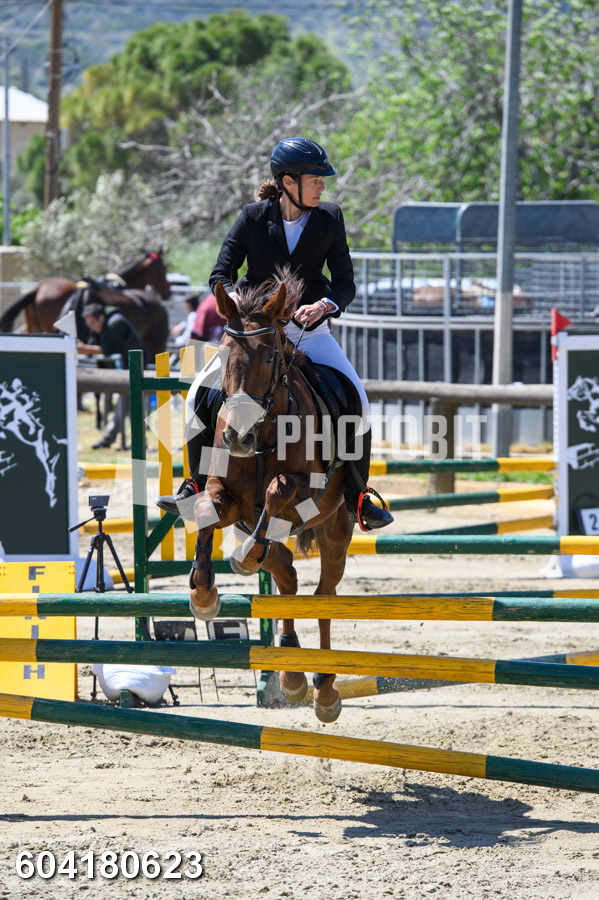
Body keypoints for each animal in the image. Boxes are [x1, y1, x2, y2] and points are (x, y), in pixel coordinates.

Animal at [188, 273, 353, 723]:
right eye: (224, 355)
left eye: (268, 359)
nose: (237, 438)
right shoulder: (225, 494)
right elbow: (207, 506)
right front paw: (203, 595)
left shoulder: (305, 491)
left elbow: (278, 488)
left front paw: (242, 559)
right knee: (287, 575)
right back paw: (293, 674)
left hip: (335, 527)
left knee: (323, 596)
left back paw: (324, 690)